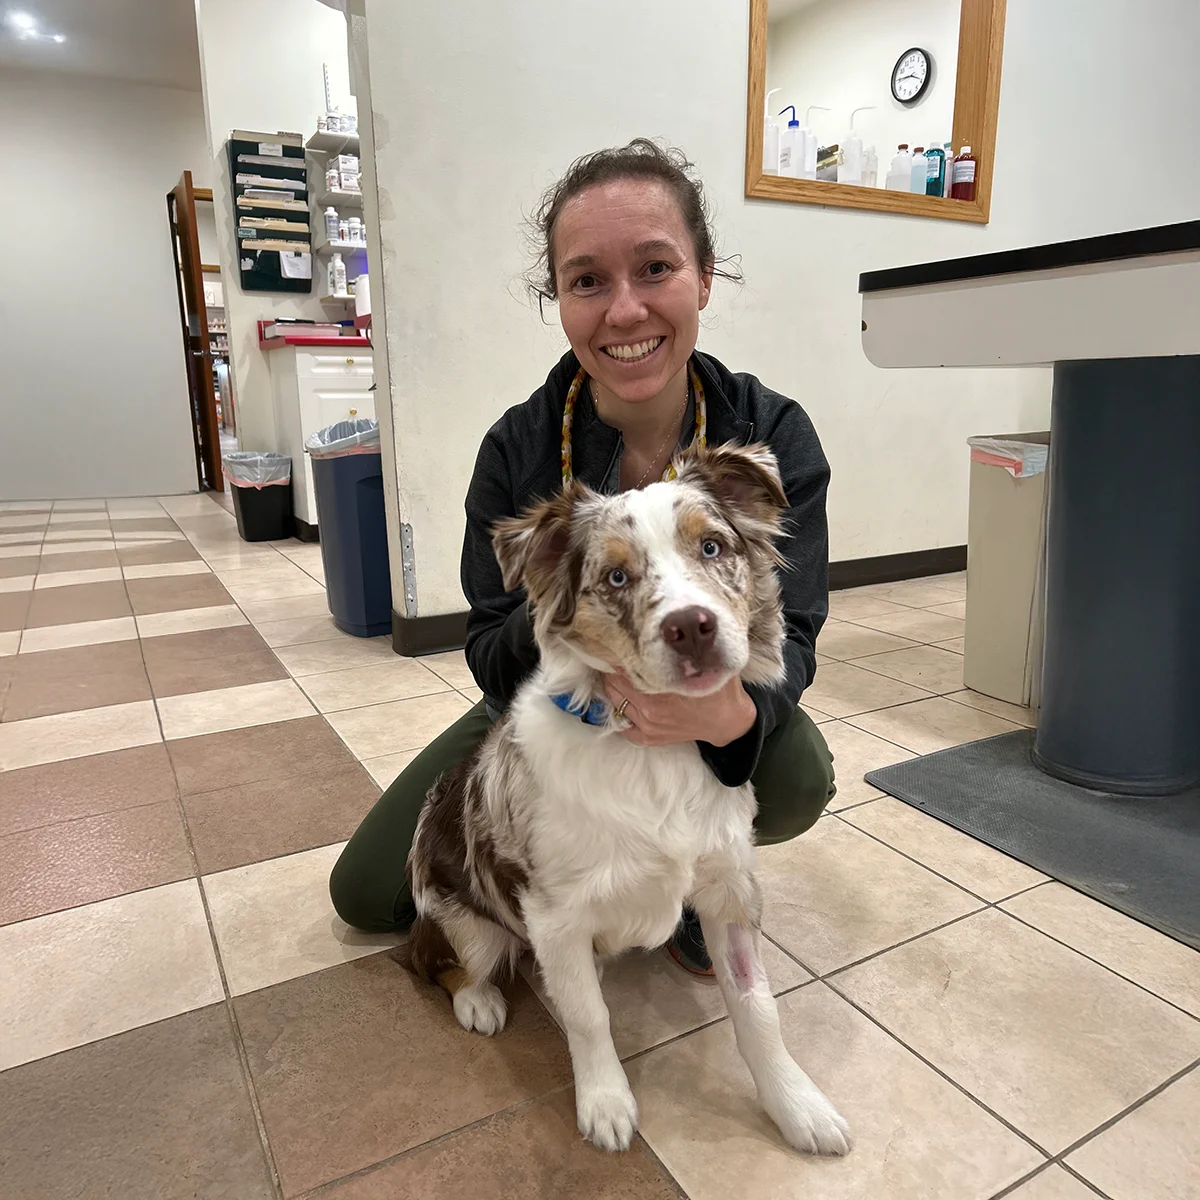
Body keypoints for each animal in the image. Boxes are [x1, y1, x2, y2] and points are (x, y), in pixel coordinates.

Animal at [408, 446, 849, 1156]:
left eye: (712, 545)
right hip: (460, 920)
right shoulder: (555, 915)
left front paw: (797, 1105)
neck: (650, 756)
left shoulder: (729, 889)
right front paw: (606, 1102)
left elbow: (758, 1009)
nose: (691, 626)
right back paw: (479, 1000)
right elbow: (589, 1017)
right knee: (438, 962)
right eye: (616, 576)